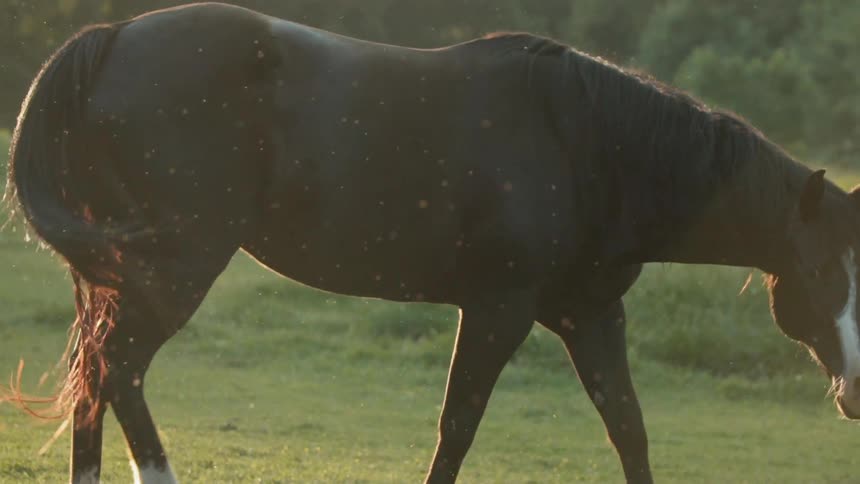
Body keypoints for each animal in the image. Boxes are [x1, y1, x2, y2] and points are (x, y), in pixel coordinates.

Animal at [3, 2, 859, 483]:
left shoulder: (589, 316)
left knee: (92, 379)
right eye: (822, 269)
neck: (584, 143)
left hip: (110, 275)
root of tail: (110, 38)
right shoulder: (497, 309)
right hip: (176, 267)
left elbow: (630, 430)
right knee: (120, 372)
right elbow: (458, 429)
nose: (855, 392)